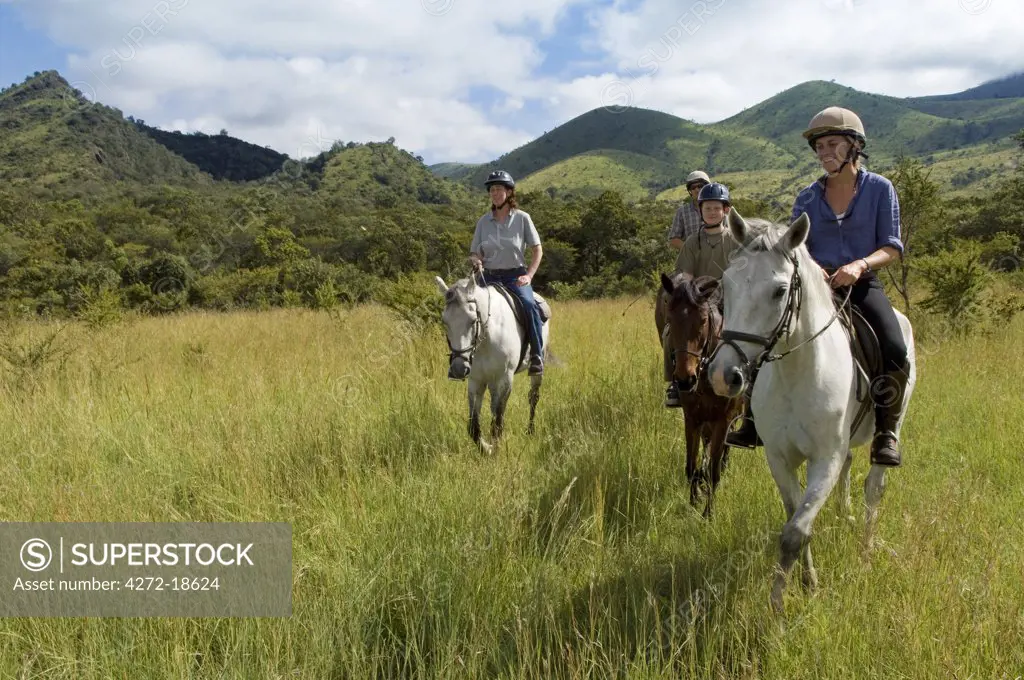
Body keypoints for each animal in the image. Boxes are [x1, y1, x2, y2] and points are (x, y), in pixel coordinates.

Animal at [432, 270, 548, 450]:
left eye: (473, 320)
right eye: (445, 322)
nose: (458, 369)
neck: (486, 338)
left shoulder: (504, 379)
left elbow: (497, 422)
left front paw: (495, 449)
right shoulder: (476, 381)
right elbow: (474, 427)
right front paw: (486, 448)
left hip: (536, 371)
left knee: (533, 397)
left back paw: (530, 430)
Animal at [655, 270, 745, 516]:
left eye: (703, 320)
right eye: (670, 319)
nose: (685, 380)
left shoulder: (723, 420)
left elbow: (714, 471)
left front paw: (708, 513)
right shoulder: (692, 418)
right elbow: (691, 465)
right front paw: (693, 502)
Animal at [708, 210, 917, 610]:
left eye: (779, 291)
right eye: (726, 284)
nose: (724, 376)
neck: (798, 373)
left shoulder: (825, 459)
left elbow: (795, 531)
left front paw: (778, 604)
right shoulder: (779, 457)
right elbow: (794, 518)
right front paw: (807, 582)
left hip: (888, 429)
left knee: (874, 487)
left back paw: (866, 550)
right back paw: (843, 514)